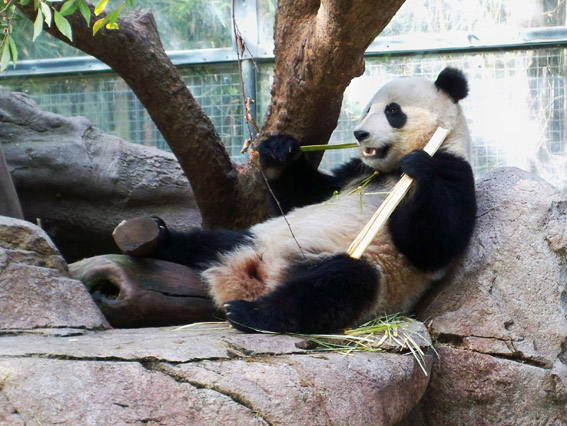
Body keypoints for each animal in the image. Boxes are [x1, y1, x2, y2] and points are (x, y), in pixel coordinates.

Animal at [117, 66, 478, 334]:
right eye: (366, 110)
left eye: (392, 112)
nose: (360, 134)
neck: (386, 171)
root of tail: (256, 277)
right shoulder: (354, 173)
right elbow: (306, 193)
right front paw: (279, 151)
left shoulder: (455, 170)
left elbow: (433, 244)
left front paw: (417, 167)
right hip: (258, 237)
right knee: (209, 243)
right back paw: (152, 237)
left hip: (370, 275)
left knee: (332, 287)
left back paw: (250, 314)